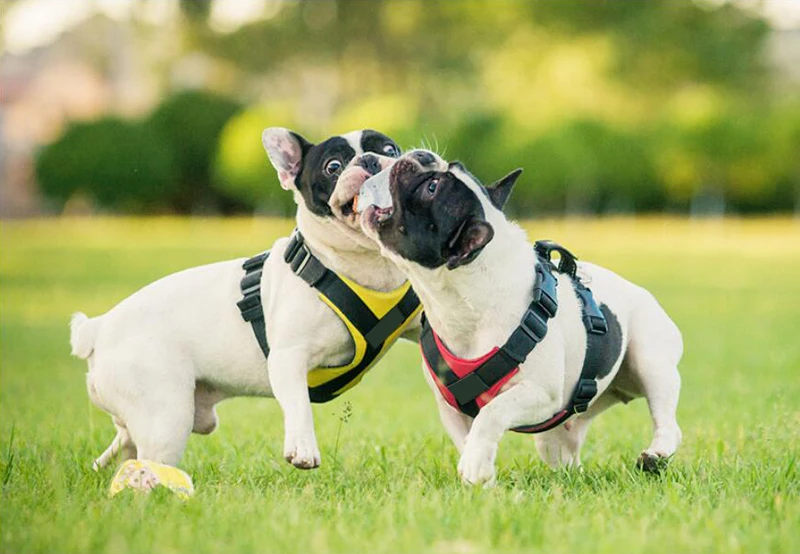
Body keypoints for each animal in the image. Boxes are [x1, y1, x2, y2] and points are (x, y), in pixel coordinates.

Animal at [340, 150, 684, 484]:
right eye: (450, 167)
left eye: (432, 188)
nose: (422, 156)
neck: (465, 302)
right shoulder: (450, 408)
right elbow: (469, 438)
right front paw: (480, 476)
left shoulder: (539, 394)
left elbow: (493, 412)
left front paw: (476, 467)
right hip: (557, 436)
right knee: (564, 451)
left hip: (650, 361)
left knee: (667, 421)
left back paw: (655, 455)